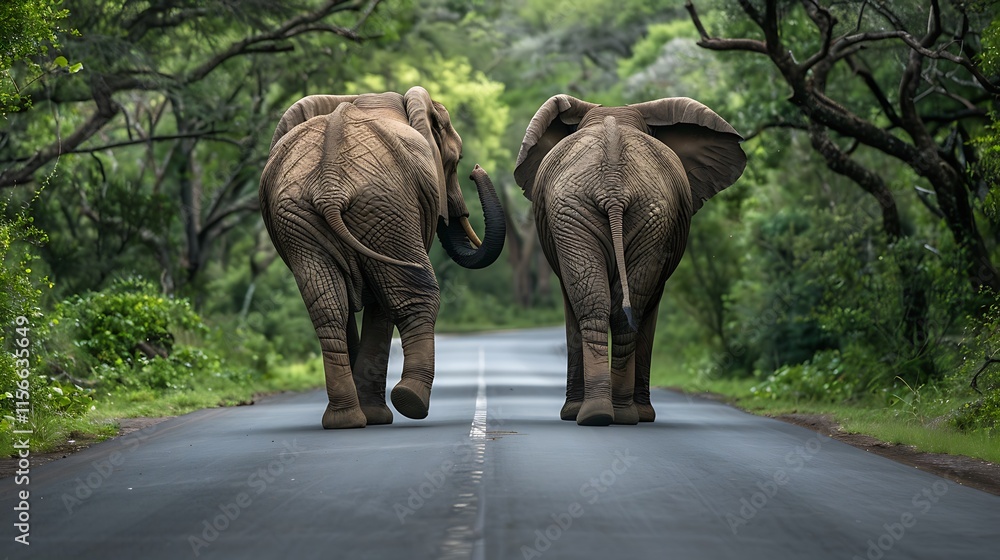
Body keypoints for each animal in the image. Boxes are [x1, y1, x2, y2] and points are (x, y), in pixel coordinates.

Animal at [259, 86, 505, 429]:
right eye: (456, 161)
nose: (476, 171)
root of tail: (330, 187)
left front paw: (370, 415)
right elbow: (383, 303)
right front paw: (378, 416)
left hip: (305, 216)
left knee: (328, 305)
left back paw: (345, 420)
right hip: (383, 207)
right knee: (413, 294)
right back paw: (409, 401)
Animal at [514, 95, 746, 426]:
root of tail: (613, 187)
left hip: (638, 213)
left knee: (607, 306)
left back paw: (610, 415)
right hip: (587, 211)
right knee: (611, 306)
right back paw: (604, 414)